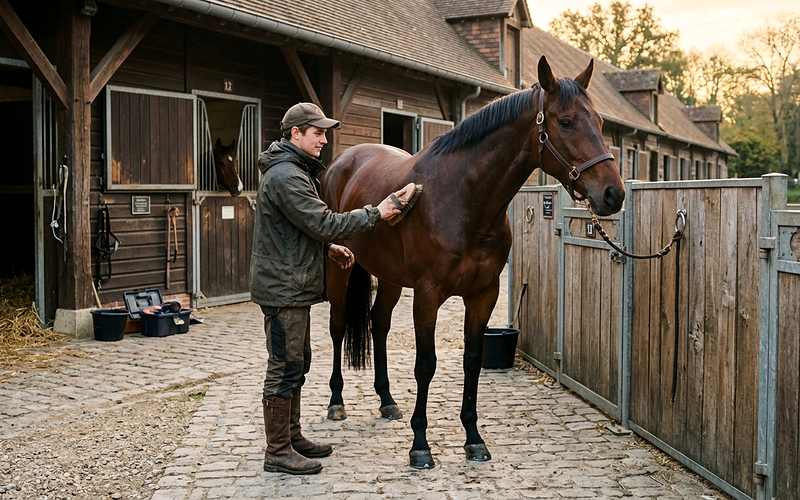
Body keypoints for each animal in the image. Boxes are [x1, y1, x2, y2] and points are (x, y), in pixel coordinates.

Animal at [320, 55, 624, 469]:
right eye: (565, 121)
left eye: (602, 123)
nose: (613, 194)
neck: (464, 199)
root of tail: (343, 162)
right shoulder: (428, 296)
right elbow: (426, 364)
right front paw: (420, 445)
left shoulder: (484, 294)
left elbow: (472, 360)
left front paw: (474, 439)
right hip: (340, 267)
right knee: (337, 328)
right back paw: (336, 402)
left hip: (391, 278)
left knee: (378, 324)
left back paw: (386, 400)